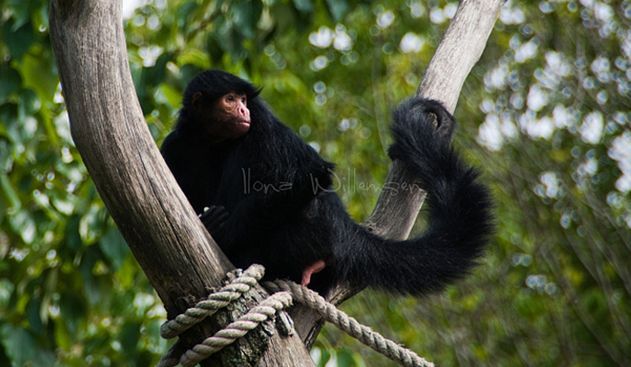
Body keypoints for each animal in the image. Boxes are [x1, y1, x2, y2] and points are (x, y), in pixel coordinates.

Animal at [162, 69, 494, 296]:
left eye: (243, 100)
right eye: (231, 100)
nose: (242, 109)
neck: (212, 140)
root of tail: (342, 229)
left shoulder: (261, 123)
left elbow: (312, 172)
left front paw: (221, 228)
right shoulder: (174, 145)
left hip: (304, 232)